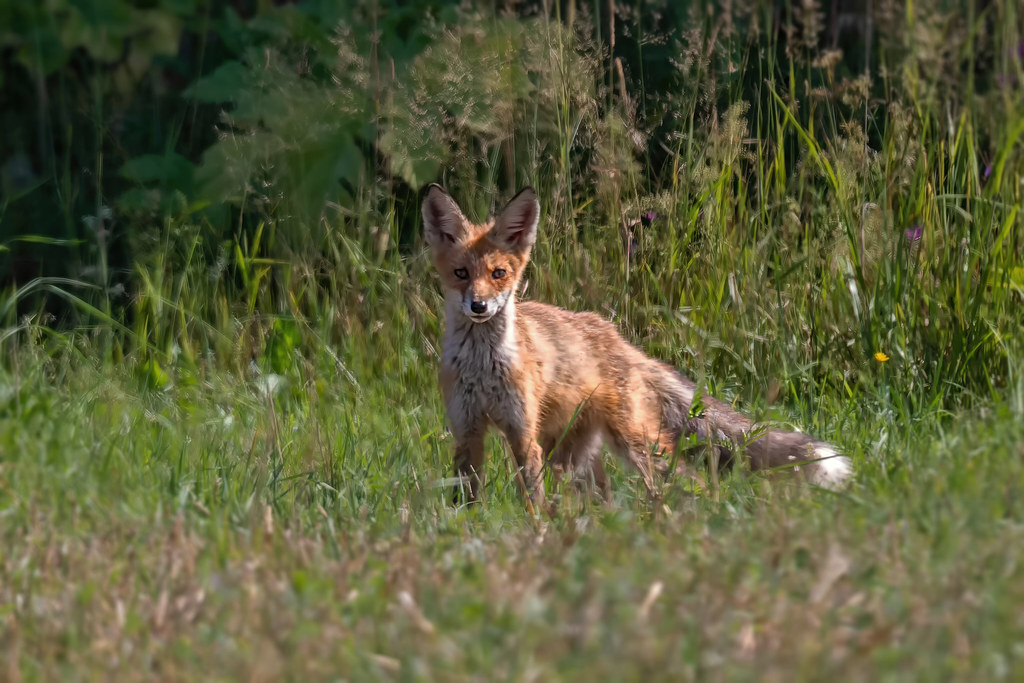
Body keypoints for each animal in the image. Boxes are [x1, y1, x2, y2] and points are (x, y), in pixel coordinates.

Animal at [419, 184, 851, 509]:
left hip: (636, 445)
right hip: (572, 457)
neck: (482, 367)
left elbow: (533, 502)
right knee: (604, 499)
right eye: (461, 273)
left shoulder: (523, 434)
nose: (479, 306)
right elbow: (466, 501)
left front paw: (536, 536)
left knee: (689, 482)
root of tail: (616, 337)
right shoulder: (468, 431)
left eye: (498, 273)